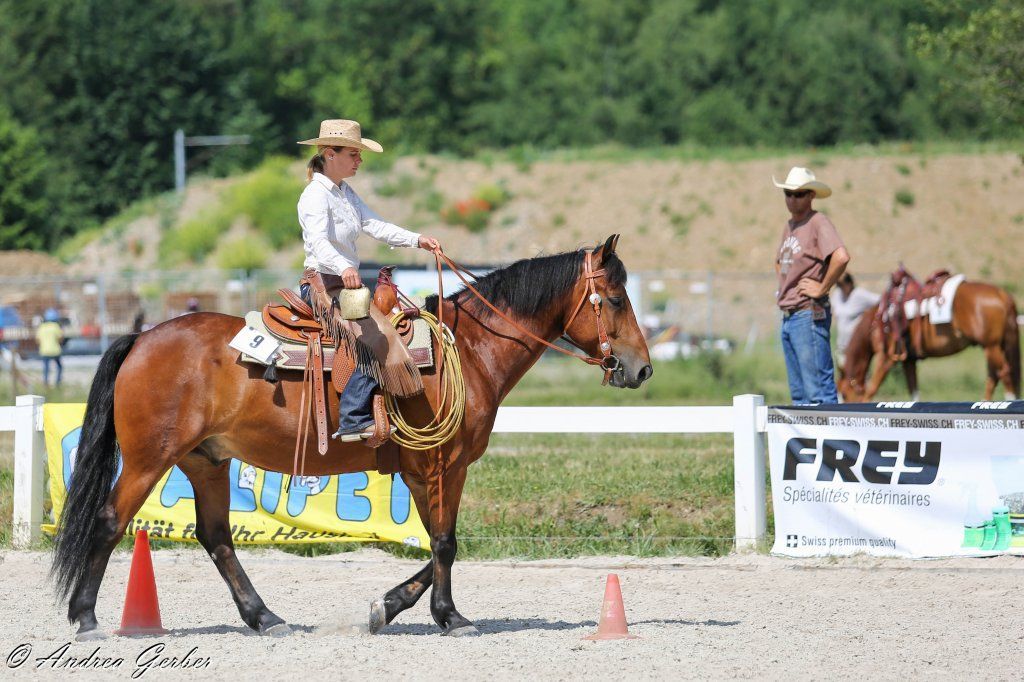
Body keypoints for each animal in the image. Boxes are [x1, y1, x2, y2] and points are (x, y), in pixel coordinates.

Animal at [51, 235, 653, 640]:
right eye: (616, 299)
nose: (641, 368)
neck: (470, 350)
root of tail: (141, 337)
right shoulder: (439, 466)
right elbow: (444, 543)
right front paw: (448, 617)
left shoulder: (432, 471)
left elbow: (440, 543)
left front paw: (389, 606)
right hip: (149, 459)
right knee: (109, 521)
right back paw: (87, 618)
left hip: (206, 461)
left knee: (217, 537)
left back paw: (265, 617)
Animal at [839, 281, 1020, 402]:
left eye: (845, 394)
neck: (879, 321)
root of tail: (1002, 295)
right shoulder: (909, 360)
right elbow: (913, 391)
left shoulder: (887, 358)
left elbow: (871, 389)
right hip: (993, 347)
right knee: (993, 377)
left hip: (991, 346)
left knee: (1005, 373)